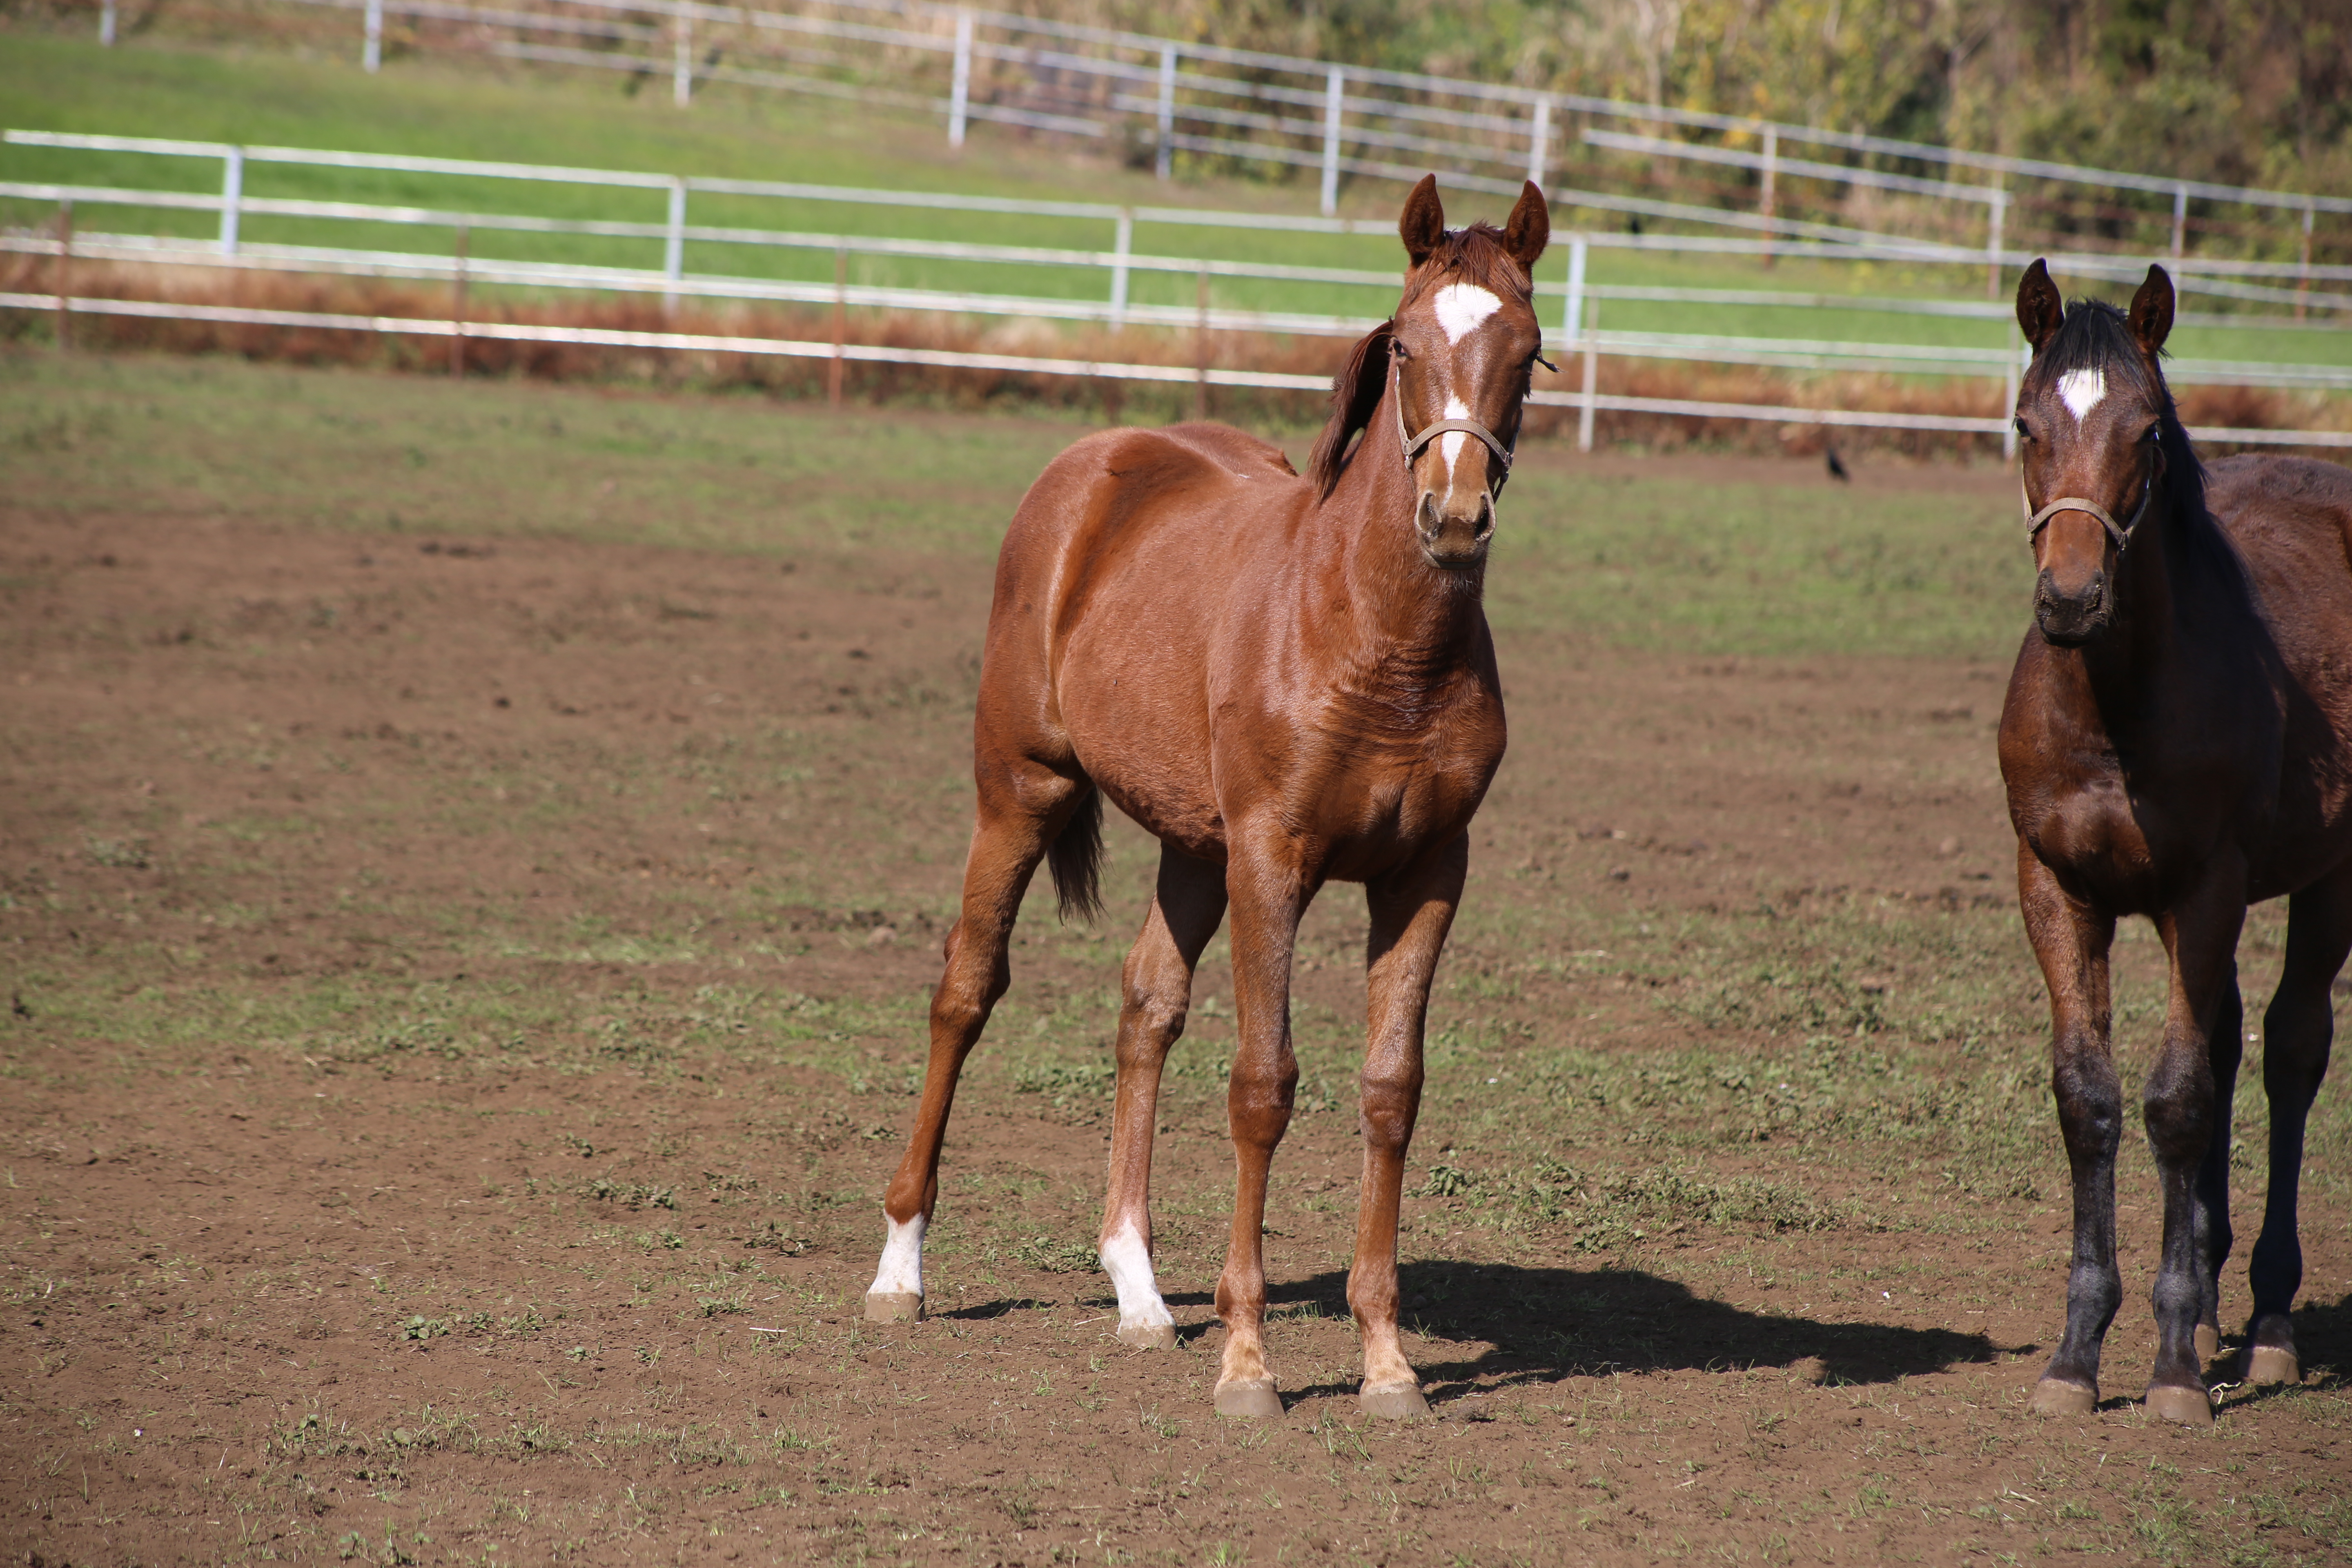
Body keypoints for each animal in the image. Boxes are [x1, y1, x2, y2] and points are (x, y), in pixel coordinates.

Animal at [861, 175, 1543, 1420]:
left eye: (1525, 349)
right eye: (1406, 345)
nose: (1454, 516)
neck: (1373, 636)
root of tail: (1100, 459)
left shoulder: (1427, 874)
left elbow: (1391, 1090)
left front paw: (1385, 1362)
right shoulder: (1274, 860)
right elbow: (1262, 1085)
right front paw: (1249, 1364)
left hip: (1190, 843)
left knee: (1146, 1007)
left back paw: (1137, 1290)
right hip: (1021, 790)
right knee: (965, 988)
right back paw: (901, 1269)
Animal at [2004, 257, 2352, 1420]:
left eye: (2147, 430)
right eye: (2023, 423)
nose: (2070, 598)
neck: (2114, 704)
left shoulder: (2203, 891)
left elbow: (2177, 1099)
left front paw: (2164, 1370)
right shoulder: (2056, 888)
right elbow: (2091, 1098)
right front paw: (2077, 1353)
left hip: (2328, 879)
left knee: (2289, 1052)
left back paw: (2267, 1322)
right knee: (2235, 1037)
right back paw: (2206, 1303)